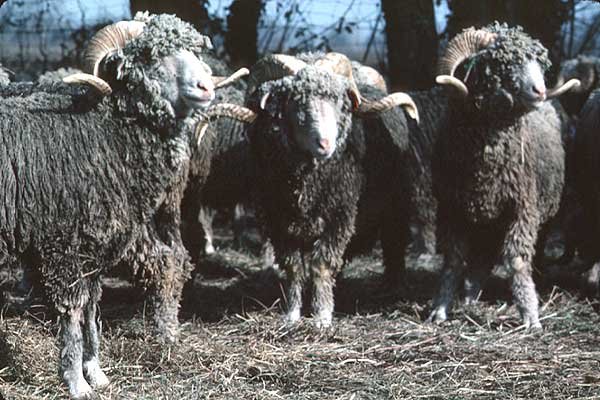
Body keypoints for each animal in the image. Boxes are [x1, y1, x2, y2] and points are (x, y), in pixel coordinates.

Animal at [0, 12, 240, 398]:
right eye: (152, 56)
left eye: (193, 50)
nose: (206, 87)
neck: (103, 130)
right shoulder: (62, 246)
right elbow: (72, 313)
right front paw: (76, 381)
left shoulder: (95, 247)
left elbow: (92, 308)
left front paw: (95, 371)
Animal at [213, 52, 420, 328]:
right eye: (295, 103)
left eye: (338, 100)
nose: (325, 143)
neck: (306, 186)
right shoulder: (279, 222)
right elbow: (293, 267)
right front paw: (292, 314)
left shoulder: (339, 217)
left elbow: (322, 265)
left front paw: (322, 316)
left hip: (395, 208)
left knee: (393, 247)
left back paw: (392, 288)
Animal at [427, 22, 580, 329]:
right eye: (502, 64)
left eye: (539, 62)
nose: (539, 91)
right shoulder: (452, 209)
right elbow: (453, 261)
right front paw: (440, 308)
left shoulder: (522, 207)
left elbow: (517, 261)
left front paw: (530, 315)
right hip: (486, 222)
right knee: (481, 258)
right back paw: (470, 298)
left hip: (543, 213)